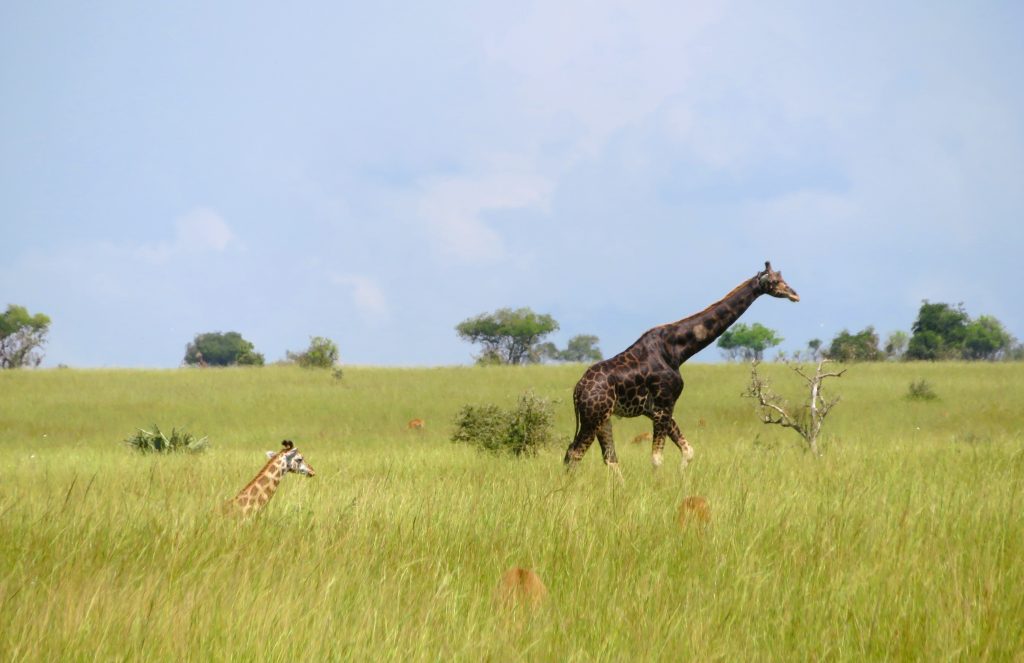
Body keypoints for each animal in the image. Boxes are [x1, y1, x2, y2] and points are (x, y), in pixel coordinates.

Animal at [563, 261, 799, 472]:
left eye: (783, 277)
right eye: (776, 281)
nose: (795, 294)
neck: (676, 351)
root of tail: (577, 391)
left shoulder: (657, 409)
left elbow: (688, 451)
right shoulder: (663, 405)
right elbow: (657, 458)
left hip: (603, 418)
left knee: (604, 457)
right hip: (594, 416)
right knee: (575, 453)